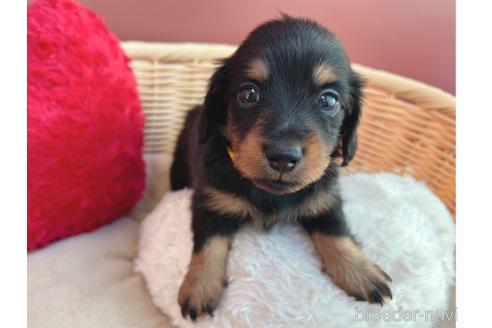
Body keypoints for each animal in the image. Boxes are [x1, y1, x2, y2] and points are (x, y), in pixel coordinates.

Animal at [170, 16, 392, 320]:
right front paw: (200, 286)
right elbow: (208, 244)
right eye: (248, 93)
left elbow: (337, 231)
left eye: (329, 100)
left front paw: (360, 270)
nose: (283, 157)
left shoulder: (324, 199)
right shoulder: (209, 201)